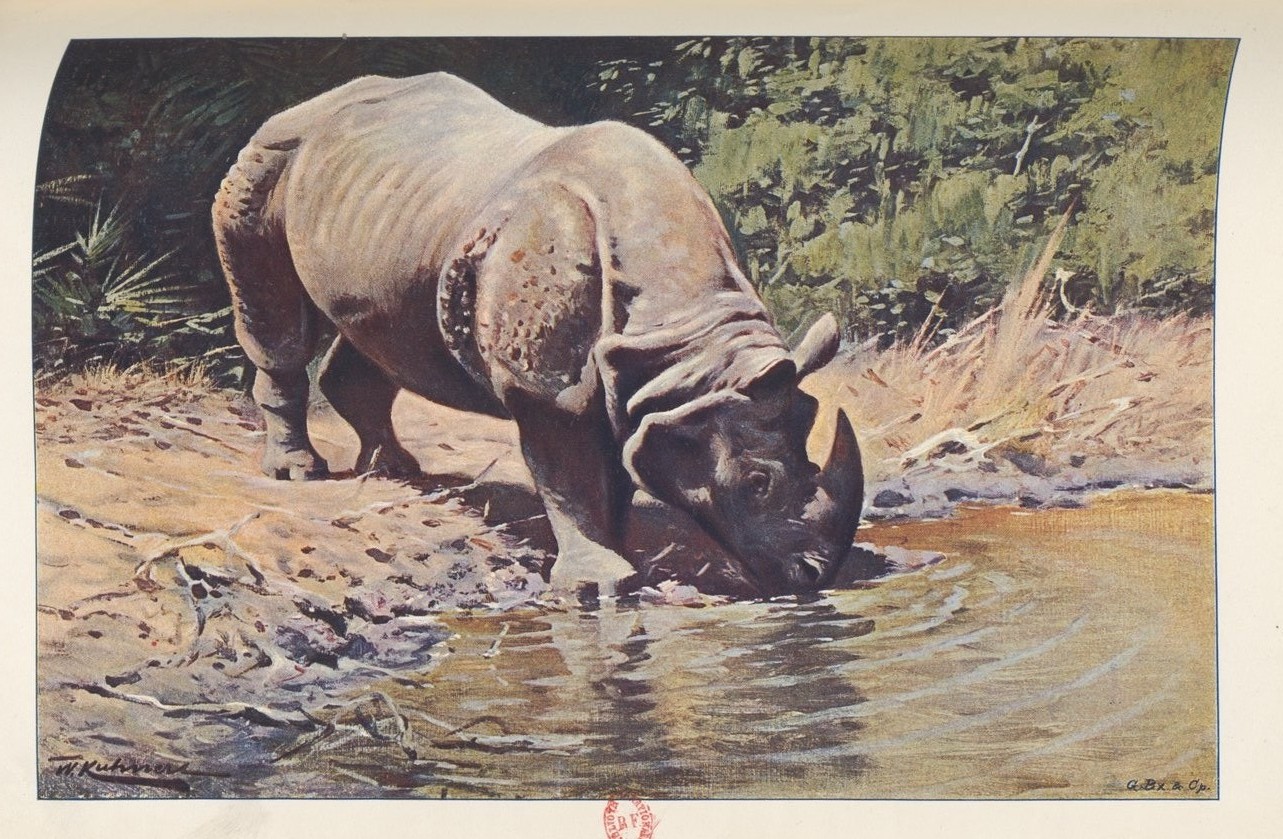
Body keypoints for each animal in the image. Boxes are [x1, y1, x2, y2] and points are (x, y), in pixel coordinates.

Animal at [212, 72, 863, 596]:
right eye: (756, 483)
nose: (813, 577)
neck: (690, 343)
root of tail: (314, 105)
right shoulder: (549, 387)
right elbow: (566, 470)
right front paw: (598, 584)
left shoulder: (637, 384)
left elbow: (617, 467)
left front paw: (625, 555)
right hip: (268, 159)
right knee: (276, 315)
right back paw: (299, 473)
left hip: (390, 213)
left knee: (381, 329)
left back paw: (396, 472)